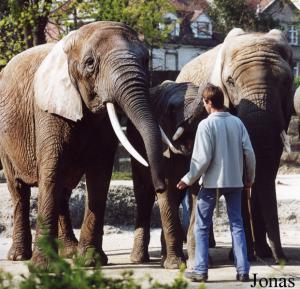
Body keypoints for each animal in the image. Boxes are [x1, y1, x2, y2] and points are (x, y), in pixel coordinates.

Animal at [0, 20, 166, 268]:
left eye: (146, 61)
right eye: (90, 63)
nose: (160, 187)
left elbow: (99, 176)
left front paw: (90, 261)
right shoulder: (47, 110)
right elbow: (51, 171)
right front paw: (43, 266)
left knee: (63, 190)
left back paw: (68, 251)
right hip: (5, 141)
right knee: (19, 190)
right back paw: (19, 256)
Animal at [126, 79, 209, 268]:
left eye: (206, 114)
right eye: (171, 110)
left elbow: (196, 192)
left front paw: (194, 263)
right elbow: (166, 191)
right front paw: (175, 266)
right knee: (144, 194)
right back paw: (139, 259)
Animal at [177, 28, 294, 262]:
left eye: (286, 82)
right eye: (230, 82)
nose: (282, 259)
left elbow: (265, 167)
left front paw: (262, 253)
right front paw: (245, 256)